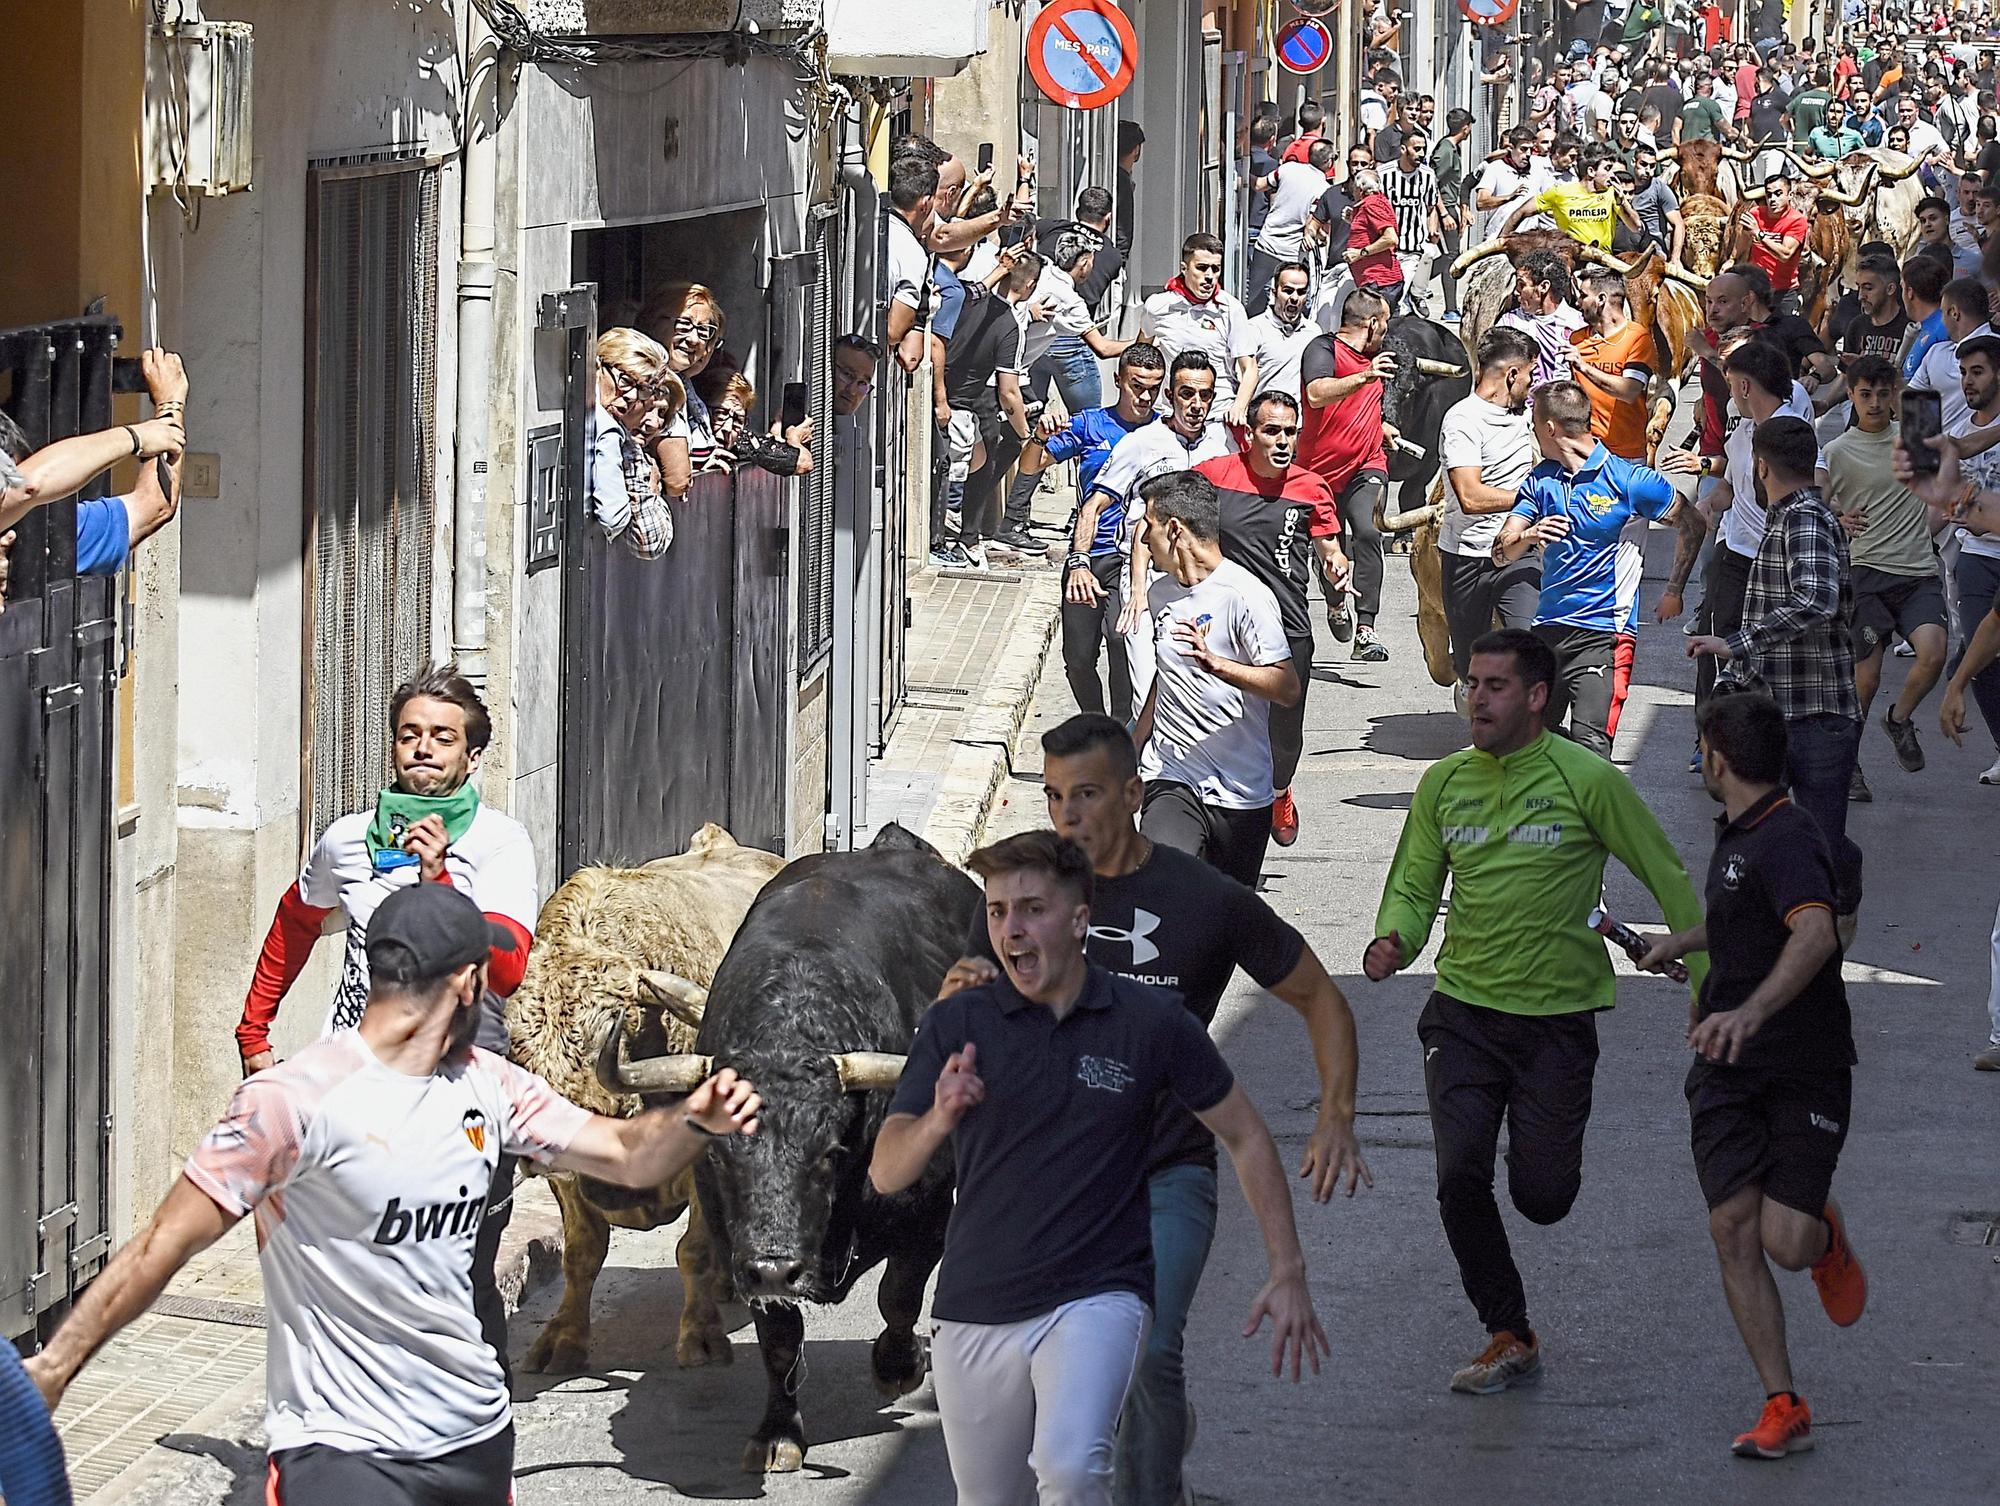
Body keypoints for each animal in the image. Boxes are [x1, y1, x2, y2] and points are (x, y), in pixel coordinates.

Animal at [504, 824, 784, 1376]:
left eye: (610, 1029)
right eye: (517, 1050)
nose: (539, 1142)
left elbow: (692, 1249)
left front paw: (699, 1337)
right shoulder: (571, 1184)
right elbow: (581, 1254)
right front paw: (563, 1339)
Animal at [688, 824, 976, 1472]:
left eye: (828, 1151)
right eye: (720, 1155)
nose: (774, 1267)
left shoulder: (927, 1215)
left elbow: (899, 1295)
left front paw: (898, 1366)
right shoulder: (737, 1246)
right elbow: (779, 1341)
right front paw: (777, 1432)